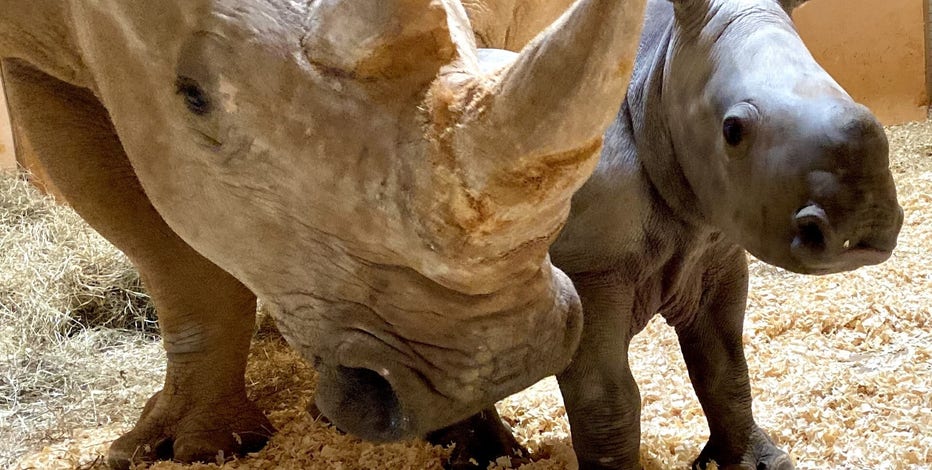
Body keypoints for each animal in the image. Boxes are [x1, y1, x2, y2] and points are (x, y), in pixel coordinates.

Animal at [0, 0, 648, 467]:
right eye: (194, 97)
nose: (502, 365)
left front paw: (475, 444)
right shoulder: (31, 62)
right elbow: (174, 260)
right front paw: (194, 449)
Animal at [438, 0, 904, 468]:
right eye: (732, 131)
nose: (861, 228)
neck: (655, 87)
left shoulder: (715, 251)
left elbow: (725, 368)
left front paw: (755, 461)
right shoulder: (589, 270)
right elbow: (609, 400)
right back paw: (488, 455)